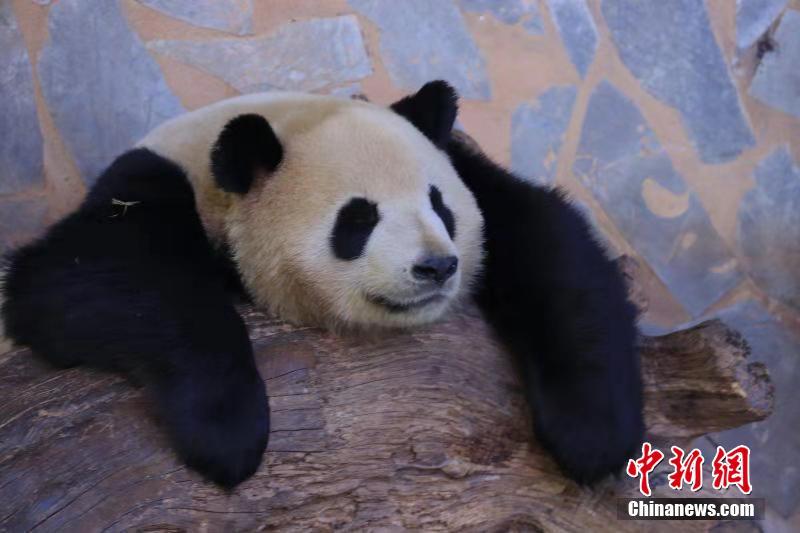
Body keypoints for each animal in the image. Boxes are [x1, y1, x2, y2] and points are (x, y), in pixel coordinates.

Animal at [0, 81, 642, 488]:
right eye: (358, 220)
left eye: (440, 205)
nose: (437, 267)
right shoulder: (150, 185)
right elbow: (77, 277)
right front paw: (227, 430)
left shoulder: (469, 168)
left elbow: (550, 242)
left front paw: (594, 436)